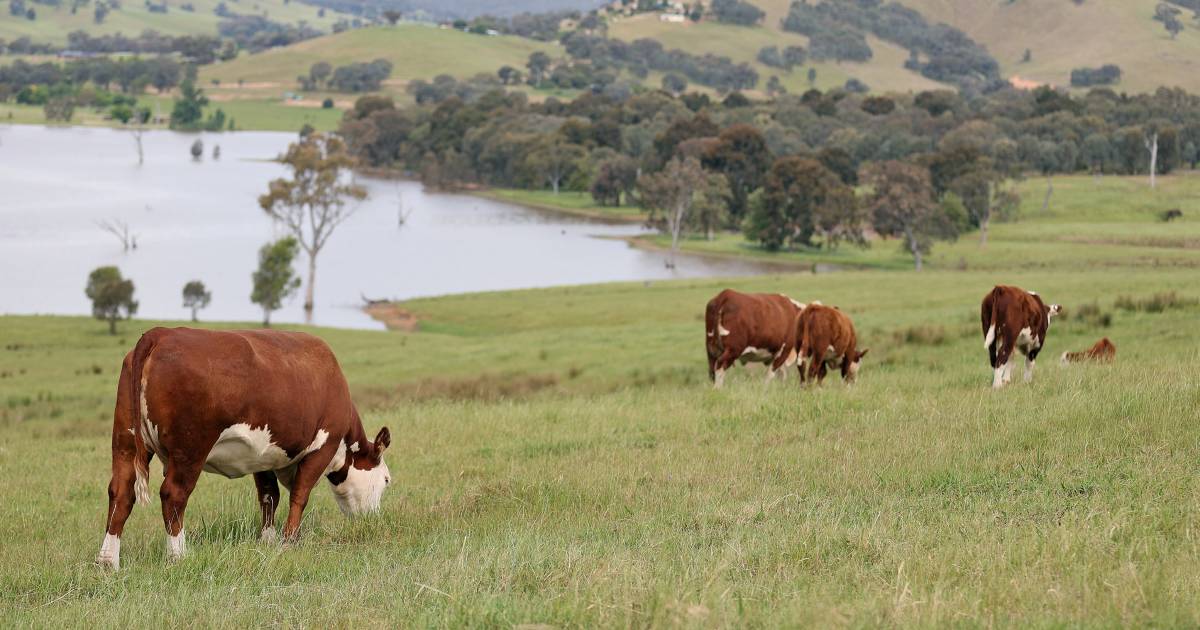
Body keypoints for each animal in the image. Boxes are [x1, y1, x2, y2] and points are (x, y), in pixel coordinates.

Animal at [97, 328, 391, 568]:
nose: (373, 520)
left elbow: (269, 496)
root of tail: (160, 333)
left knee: (121, 492)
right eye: (387, 480)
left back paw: (108, 561)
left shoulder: (262, 456)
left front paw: (267, 541)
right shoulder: (323, 446)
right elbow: (299, 495)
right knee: (173, 495)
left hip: (125, 441)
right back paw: (178, 556)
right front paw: (289, 542)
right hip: (190, 449)